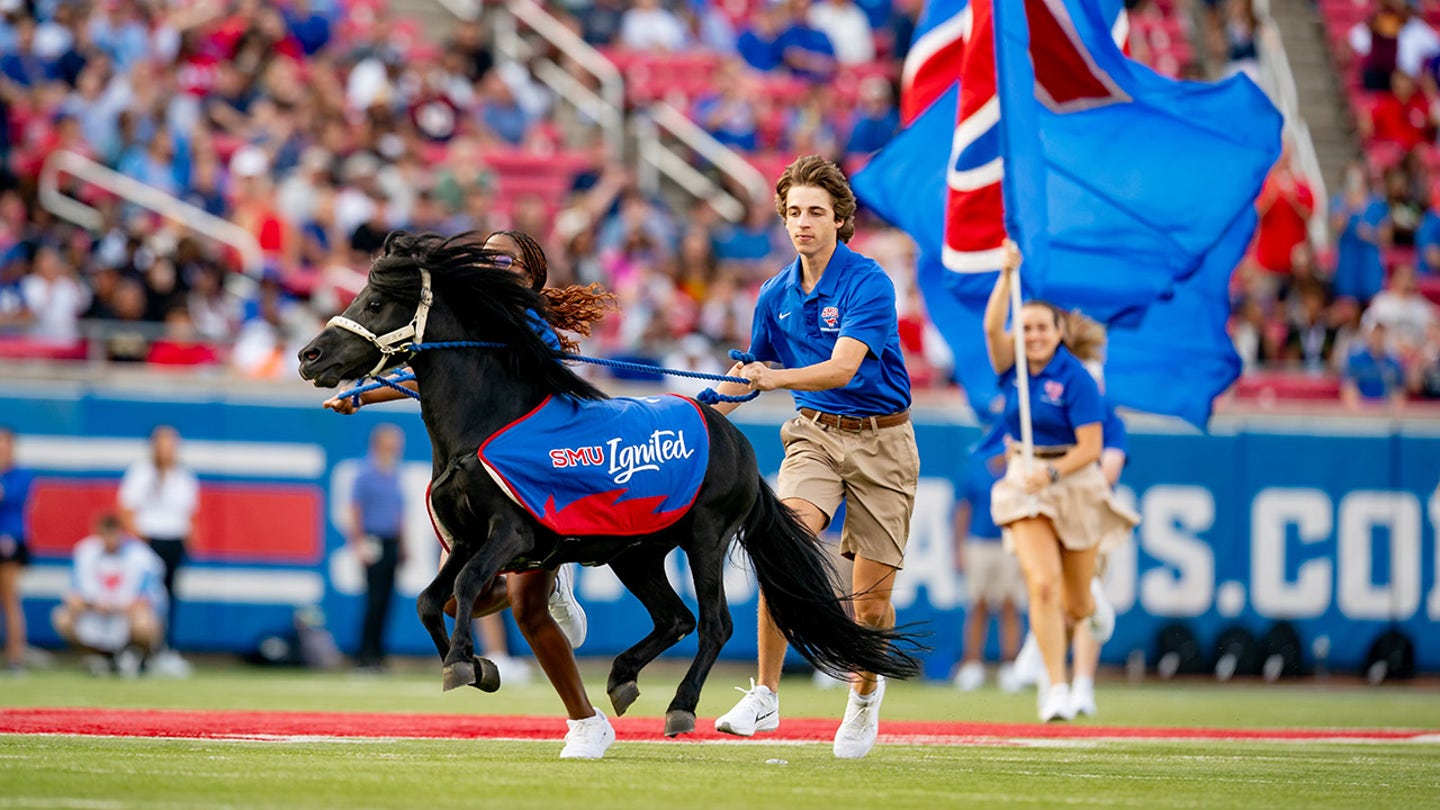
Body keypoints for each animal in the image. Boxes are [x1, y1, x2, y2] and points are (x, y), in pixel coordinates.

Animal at [299, 232, 921, 732]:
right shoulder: (468, 536)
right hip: (637, 552)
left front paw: (461, 663)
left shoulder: (511, 533)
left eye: (375, 301)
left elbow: (469, 583)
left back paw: (681, 707)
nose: (309, 355)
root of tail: (734, 438)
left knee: (714, 623)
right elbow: (432, 598)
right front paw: (478, 666)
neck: (485, 421)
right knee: (676, 618)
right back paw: (622, 675)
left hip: (704, 538)